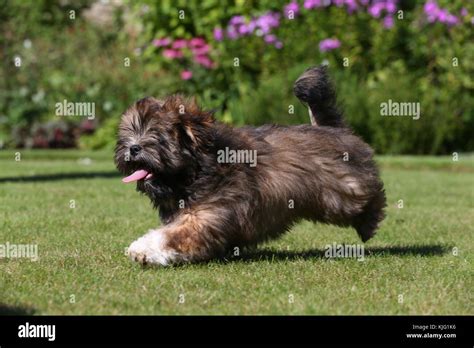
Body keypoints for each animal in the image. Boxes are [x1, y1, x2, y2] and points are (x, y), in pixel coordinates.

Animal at [115, 66, 386, 266]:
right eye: (129, 133)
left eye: (158, 136)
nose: (133, 148)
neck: (198, 170)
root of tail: (334, 130)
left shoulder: (209, 214)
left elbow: (173, 234)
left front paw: (142, 249)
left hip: (340, 193)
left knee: (369, 194)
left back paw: (370, 222)